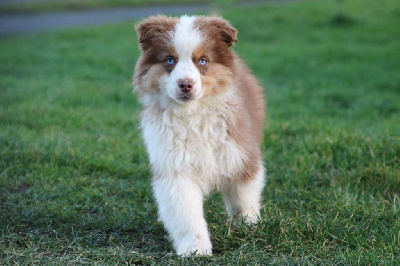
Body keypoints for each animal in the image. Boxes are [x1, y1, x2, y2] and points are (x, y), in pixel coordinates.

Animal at [133, 15, 268, 256]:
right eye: (170, 60)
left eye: (202, 61)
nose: (185, 84)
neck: (193, 113)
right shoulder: (175, 168)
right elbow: (185, 212)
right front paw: (194, 248)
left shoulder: (240, 153)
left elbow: (243, 196)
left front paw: (247, 226)